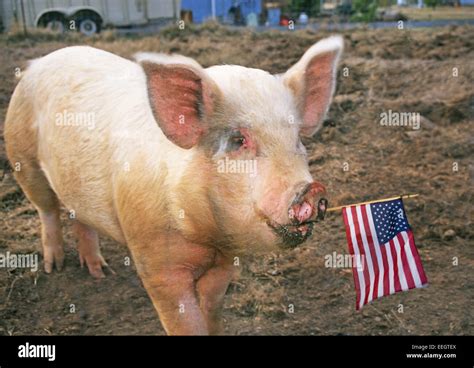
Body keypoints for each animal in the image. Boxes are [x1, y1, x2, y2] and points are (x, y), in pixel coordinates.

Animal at [4, 36, 344, 334]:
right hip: (21, 154)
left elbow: (212, 310)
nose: (312, 190)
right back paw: (55, 266)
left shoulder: (223, 263)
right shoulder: (156, 261)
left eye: (297, 139)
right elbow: (183, 319)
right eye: (238, 140)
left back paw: (100, 271)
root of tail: (39, 62)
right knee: (47, 208)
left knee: (80, 217)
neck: (207, 238)